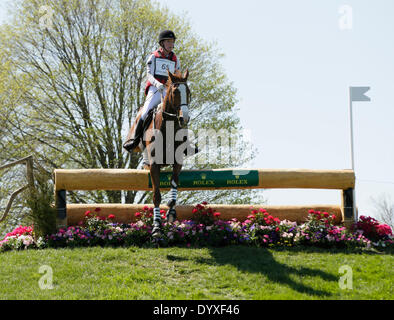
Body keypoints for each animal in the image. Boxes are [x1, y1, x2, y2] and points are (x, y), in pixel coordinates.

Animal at [124, 69, 190, 238]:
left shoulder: (177, 162)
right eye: (175, 92)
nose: (184, 118)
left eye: (188, 91)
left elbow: (174, 183)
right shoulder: (154, 165)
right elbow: (156, 196)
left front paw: (171, 212)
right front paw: (156, 228)